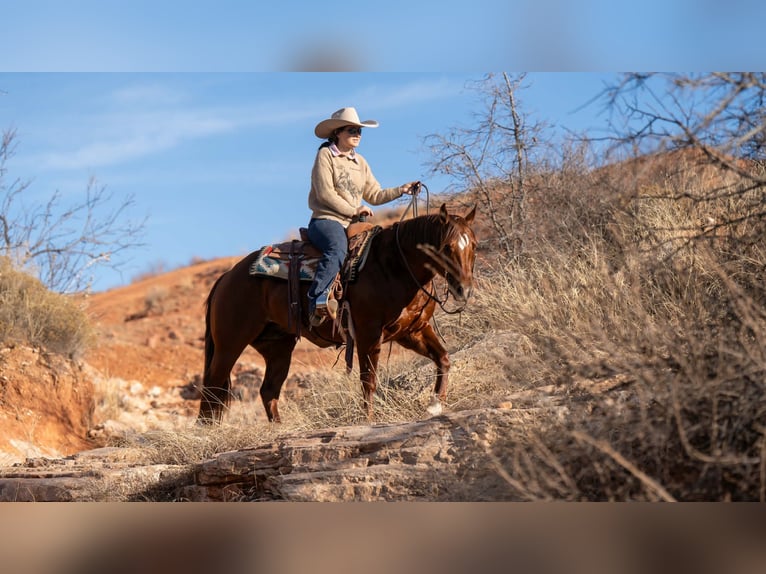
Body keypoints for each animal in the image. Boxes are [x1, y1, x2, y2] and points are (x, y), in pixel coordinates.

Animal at [197, 203, 477, 424]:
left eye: (472, 245)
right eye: (446, 246)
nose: (463, 289)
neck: (395, 265)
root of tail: (227, 277)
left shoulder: (412, 331)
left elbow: (443, 359)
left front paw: (436, 405)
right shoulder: (368, 334)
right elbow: (368, 380)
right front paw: (368, 420)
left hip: (277, 347)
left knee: (268, 391)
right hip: (229, 345)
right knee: (212, 389)